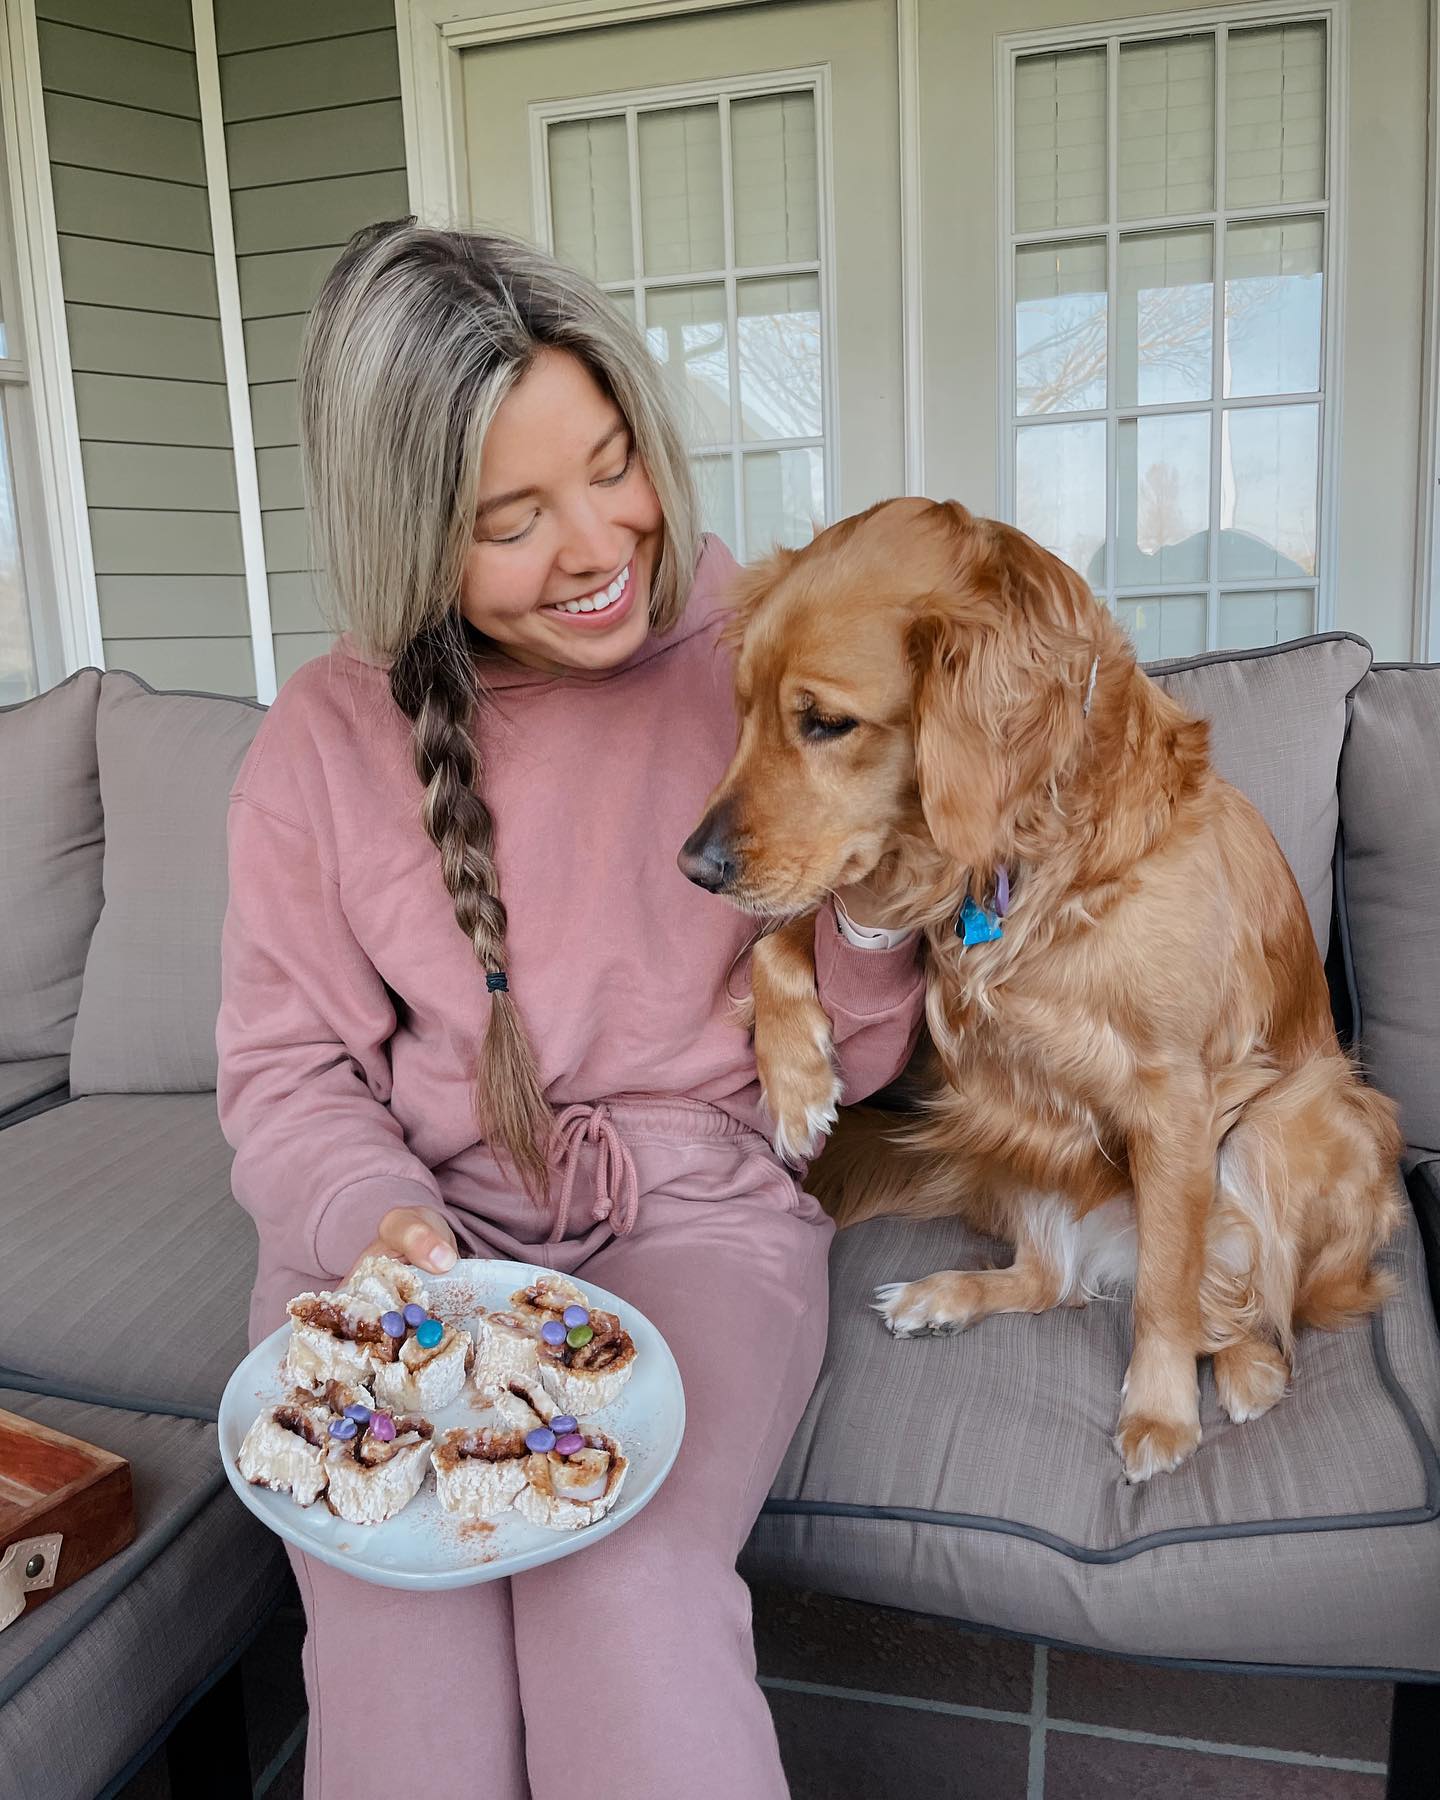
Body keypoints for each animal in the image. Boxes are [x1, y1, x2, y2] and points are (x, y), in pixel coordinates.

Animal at [680, 496, 1404, 1476]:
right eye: (744, 711)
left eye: (825, 722)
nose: (693, 868)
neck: (1030, 853)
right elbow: (785, 937)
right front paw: (797, 1083)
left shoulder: (1176, 1097)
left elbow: (1169, 1288)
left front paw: (1162, 1412)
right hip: (1009, 1126)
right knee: (1052, 1283)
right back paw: (948, 1294)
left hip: (1296, 1115)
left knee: (1247, 1299)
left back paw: (1249, 1369)